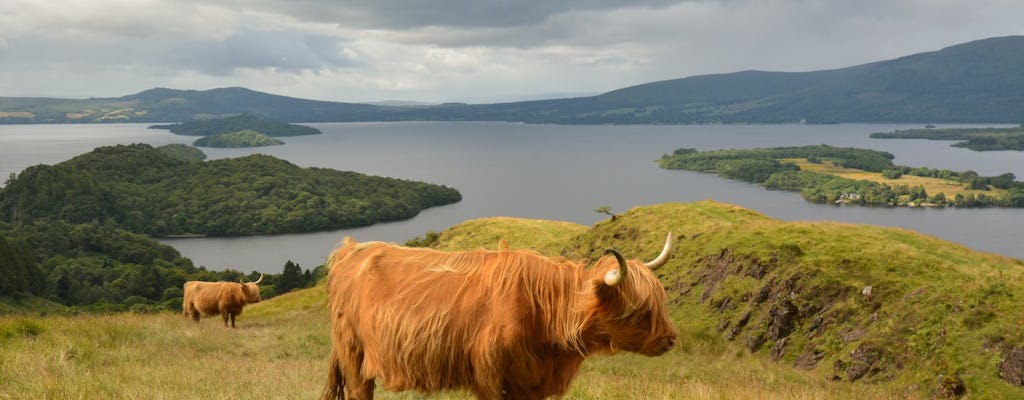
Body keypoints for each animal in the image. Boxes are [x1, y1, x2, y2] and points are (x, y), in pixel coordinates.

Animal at [319, 233, 671, 398]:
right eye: (640, 309)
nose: (670, 340)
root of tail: (351, 249)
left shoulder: (530, 383)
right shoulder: (488, 375)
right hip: (353, 353)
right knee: (358, 392)